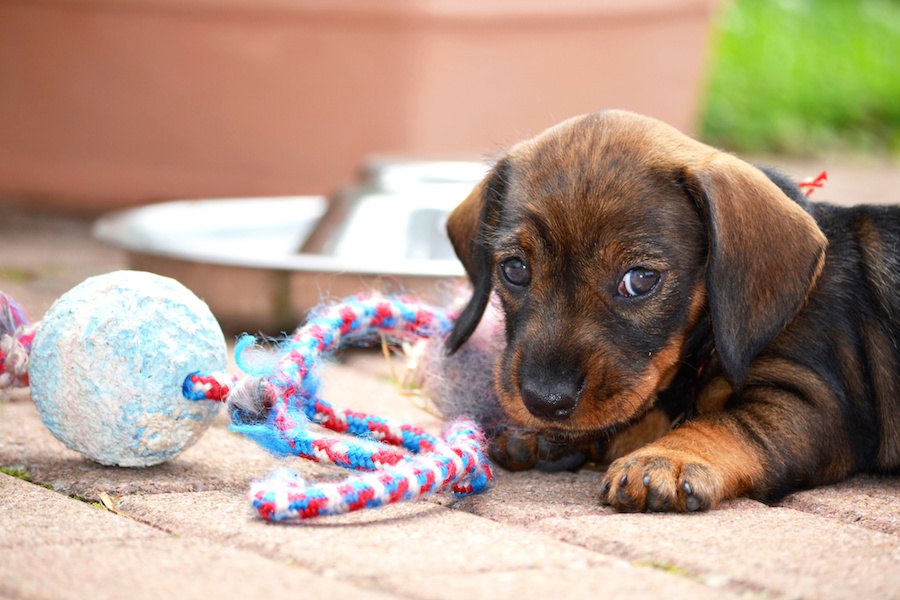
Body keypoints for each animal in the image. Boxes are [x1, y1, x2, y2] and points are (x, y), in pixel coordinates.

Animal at [444, 110, 900, 512]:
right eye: (515, 269)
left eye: (640, 279)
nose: (545, 401)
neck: (710, 339)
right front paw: (552, 438)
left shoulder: (814, 401)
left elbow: (725, 423)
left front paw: (667, 459)